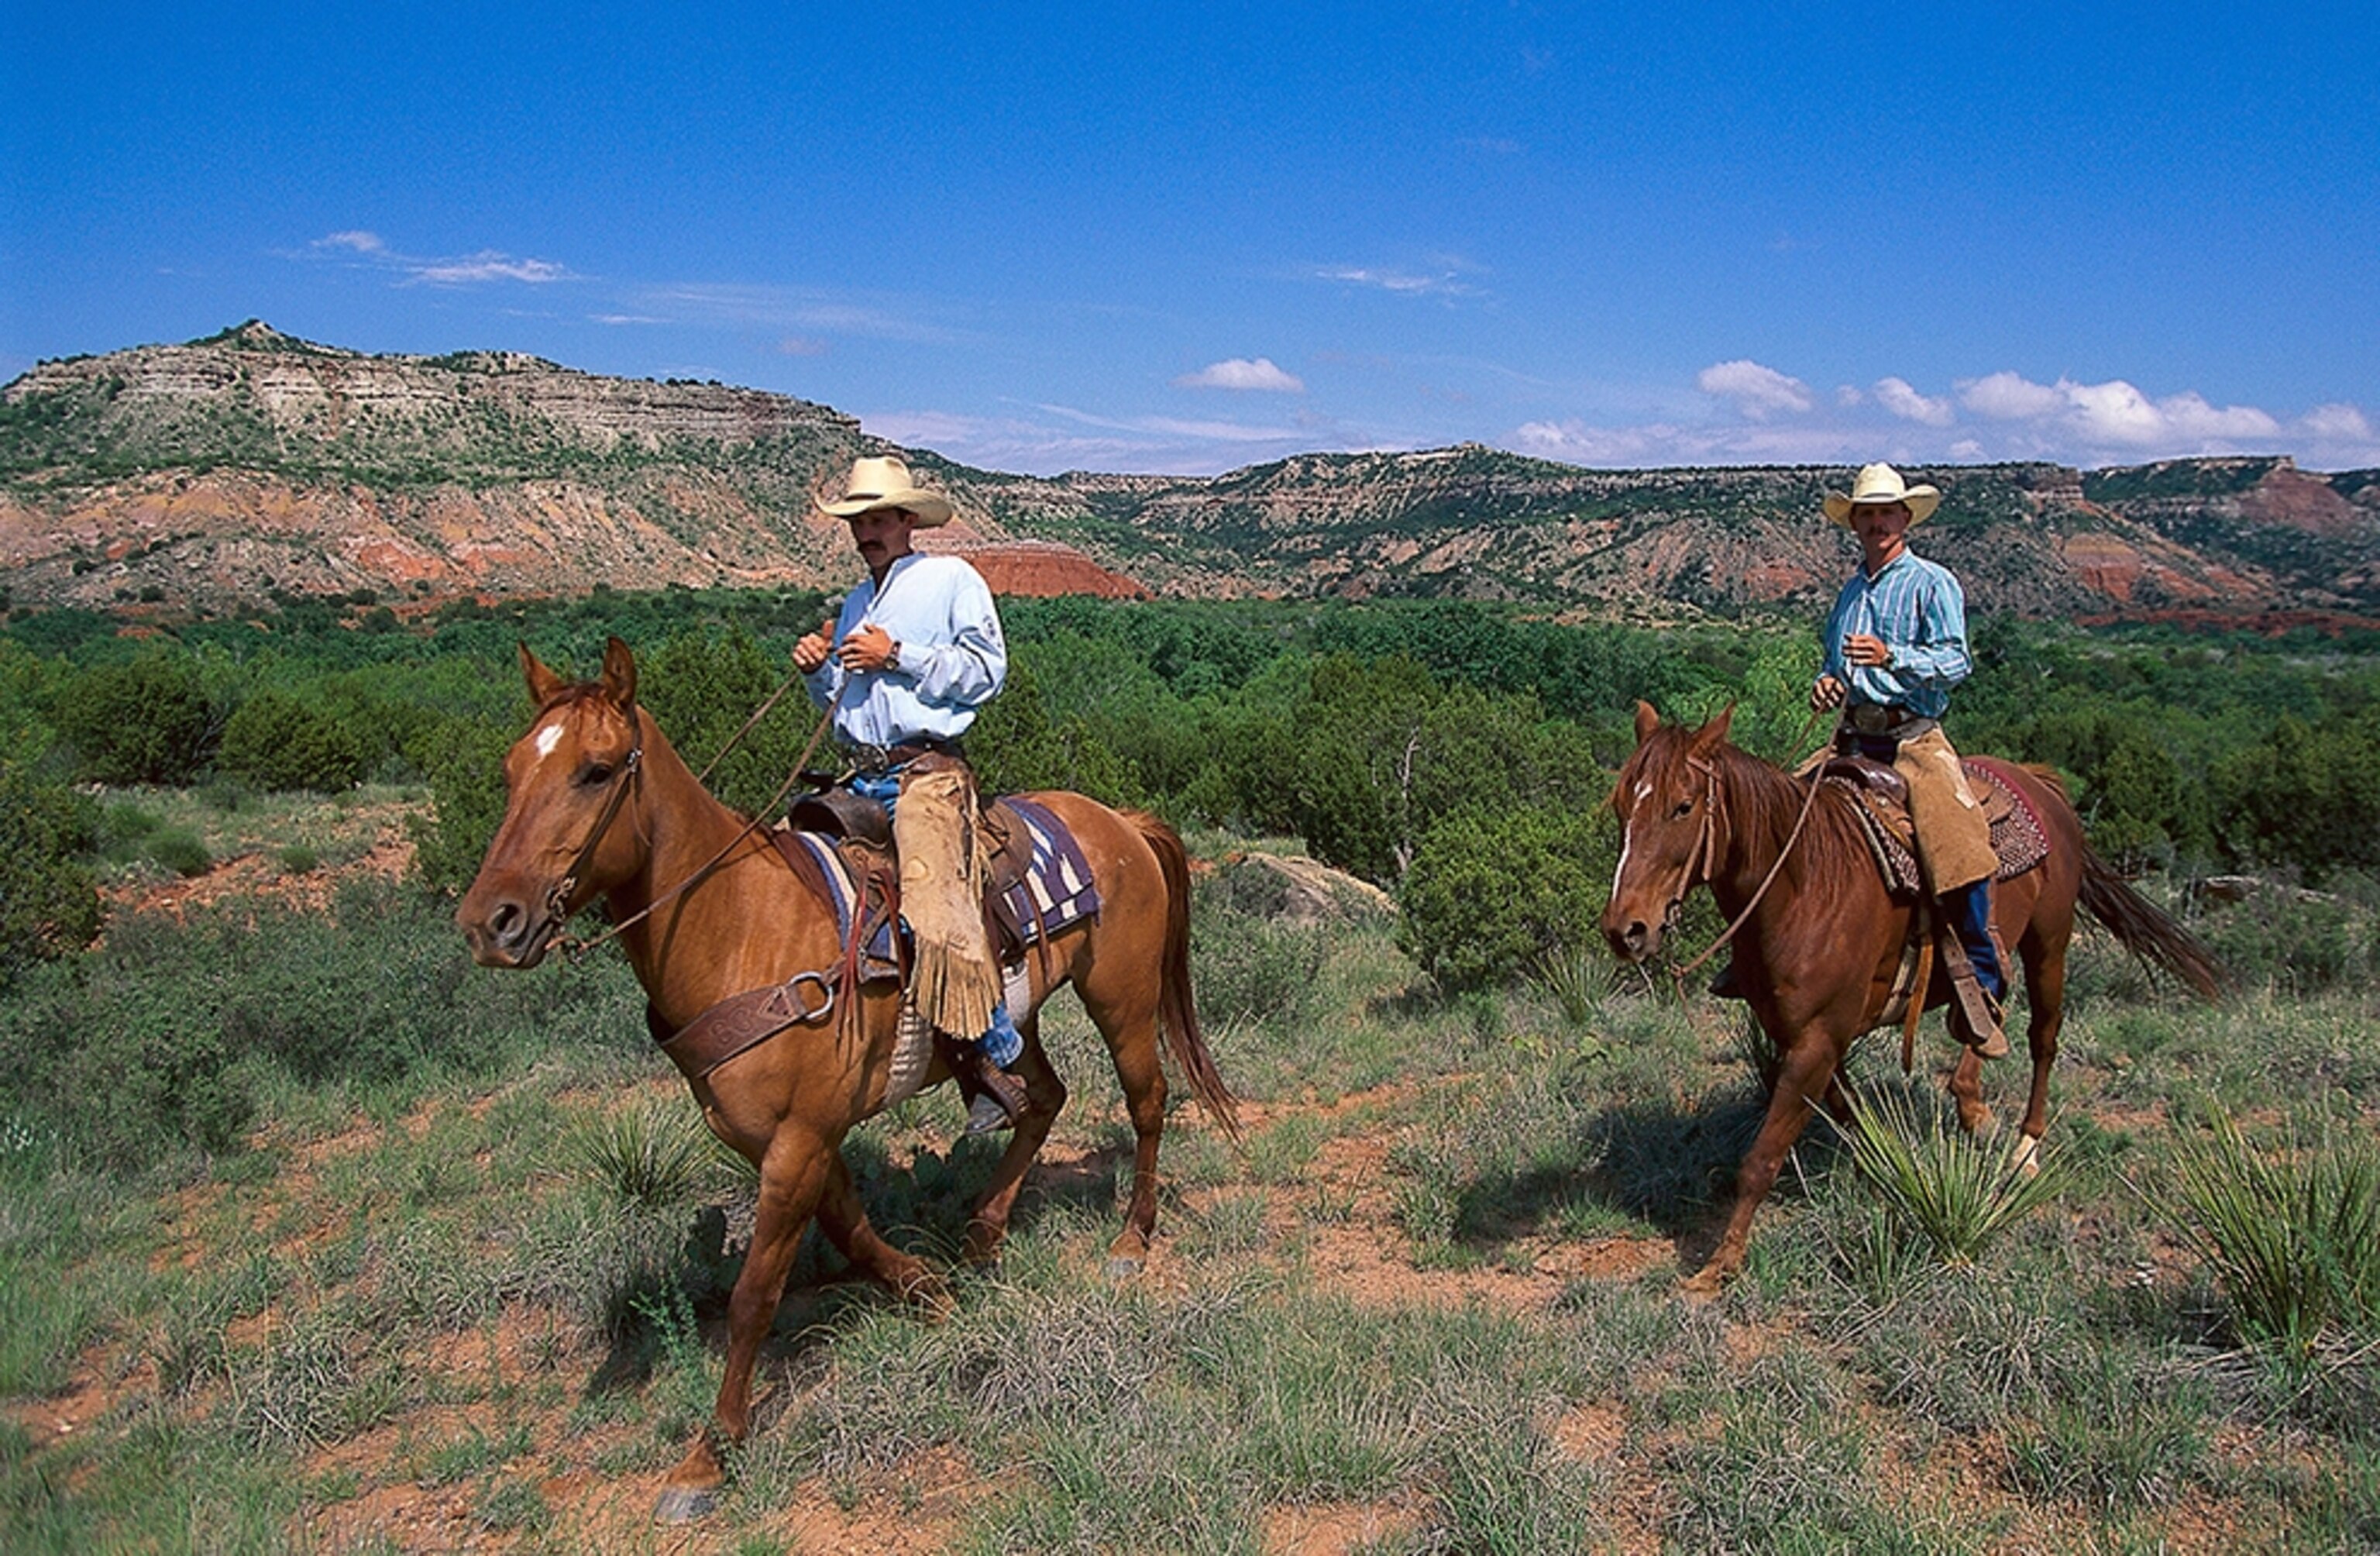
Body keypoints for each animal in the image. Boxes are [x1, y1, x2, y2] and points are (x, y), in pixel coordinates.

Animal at [456, 638, 1240, 1519]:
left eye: (595, 771)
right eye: (511, 768)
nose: (491, 923)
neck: (740, 926)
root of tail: (1119, 821)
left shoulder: (797, 1141)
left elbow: (755, 1293)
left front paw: (709, 1454)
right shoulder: (791, 1137)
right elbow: (852, 1230)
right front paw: (927, 1289)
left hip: (1122, 997)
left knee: (1147, 1100)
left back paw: (1131, 1239)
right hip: (1021, 1013)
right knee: (1043, 1098)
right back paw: (984, 1229)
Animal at [1601, 701, 2221, 1294]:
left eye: (1683, 807)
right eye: (1622, 805)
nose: (1626, 929)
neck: (1805, 886)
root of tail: (2040, 781)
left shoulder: (1817, 1040)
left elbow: (1761, 1157)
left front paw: (1719, 1267)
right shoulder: (1801, 1038)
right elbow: (1852, 1118)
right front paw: (1884, 1172)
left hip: (2051, 943)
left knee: (2043, 1035)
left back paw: (2025, 1147)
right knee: (1987, 1010)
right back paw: (1972, 1100)